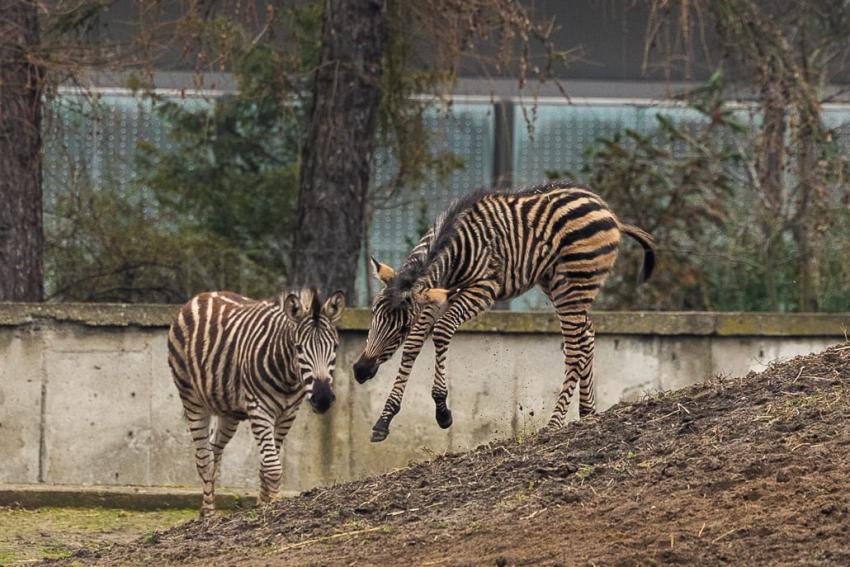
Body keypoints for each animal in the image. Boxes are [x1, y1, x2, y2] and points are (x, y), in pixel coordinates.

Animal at [169, 290, 344, 516]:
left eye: (335, 347)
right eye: (298, 348)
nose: (322, 399)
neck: (287, 377)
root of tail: (202, 296)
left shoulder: (288, 414)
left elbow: (266, 465)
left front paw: (264, 505)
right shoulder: (259, 409)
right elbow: (273, 466)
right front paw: (276, 507)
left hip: (229, 412)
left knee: (214, 451)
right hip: (191, 398)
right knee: (204, 459)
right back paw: (208, 514)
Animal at [352, 182, 656, 444]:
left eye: (400, 327)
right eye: (373, 315)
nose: (360, 370)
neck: (454, 246)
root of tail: (609, 211)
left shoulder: (483, 290)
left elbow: (441, 331)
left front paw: (442, 410)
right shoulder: (435, 295)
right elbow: (414, 346)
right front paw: (384, 420)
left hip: (574, 282)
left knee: (574, 348)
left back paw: (554, 423)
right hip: (558, 284)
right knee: (587, 334)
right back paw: (587, 412)